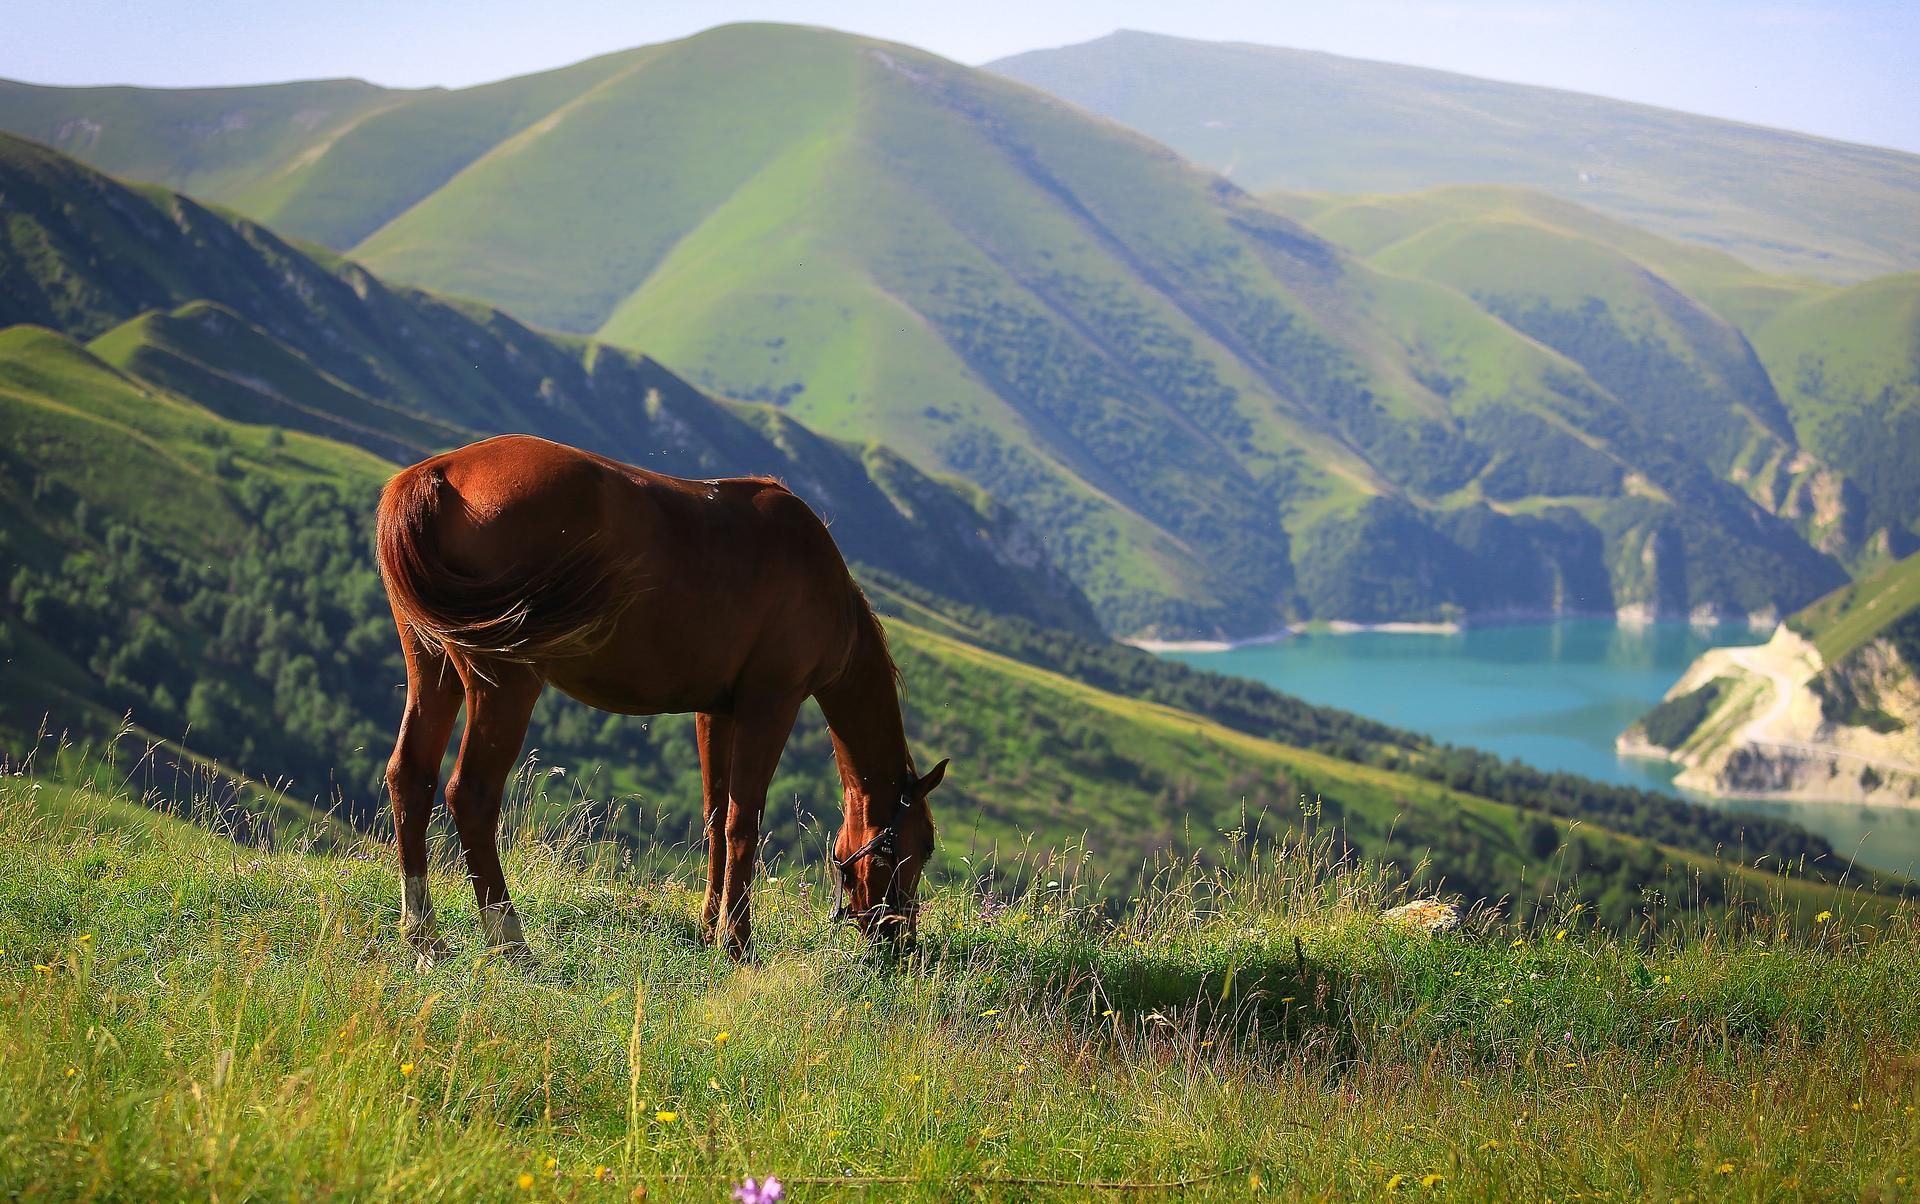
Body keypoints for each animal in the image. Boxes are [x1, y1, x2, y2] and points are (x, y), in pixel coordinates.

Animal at [370, 433, 948, 960]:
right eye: (923, 846)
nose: (901, 942)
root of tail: (436, 475)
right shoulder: (771, 704)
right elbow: (744, 821)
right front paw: (737, 942)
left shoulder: (718, 712)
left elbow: (716, 817)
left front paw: (710, 928)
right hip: (506, 683)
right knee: (471, 794)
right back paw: (510, 941)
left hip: (433, 665)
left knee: (411, 776)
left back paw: (422, 936)